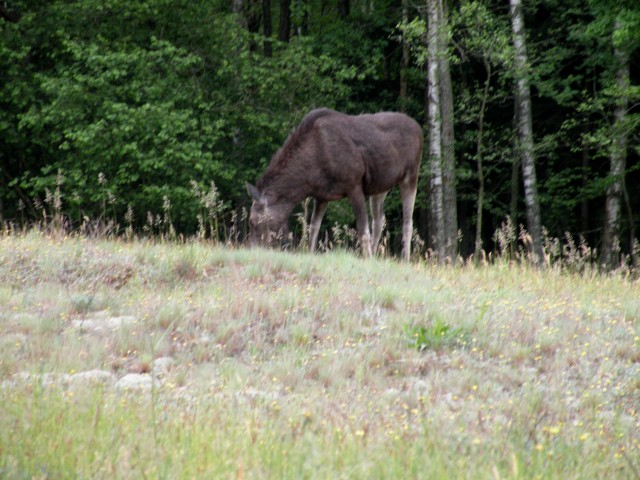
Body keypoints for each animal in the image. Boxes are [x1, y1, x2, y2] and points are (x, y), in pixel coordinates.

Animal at [248, 108, 422, 260]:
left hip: (410, 175)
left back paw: (405, 259)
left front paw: (367, 259)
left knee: (408, 221)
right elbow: (313, 227)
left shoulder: (354, 185)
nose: (253, 249)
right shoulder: (322, 196)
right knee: (380, 219)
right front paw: (310, 253)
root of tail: (419, 128)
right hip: (380, 186)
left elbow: (362, 229)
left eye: (253, 221)